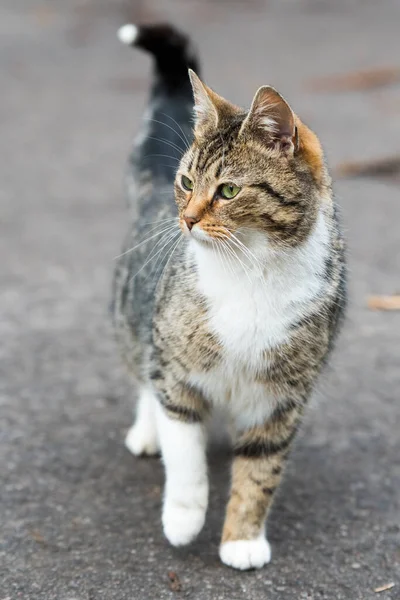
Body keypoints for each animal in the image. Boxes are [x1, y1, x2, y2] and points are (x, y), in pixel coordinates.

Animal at [113, 22, 346, 568]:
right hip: (136, 318)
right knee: (144, 374)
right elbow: (184, 452)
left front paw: (242, 540)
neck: (251, 269)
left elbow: (260, 472)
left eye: (228, 191)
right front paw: (182, 518)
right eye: (187, 181)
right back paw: (146, 430)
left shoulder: (281, 397)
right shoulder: (177, 372)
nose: (187, 219)